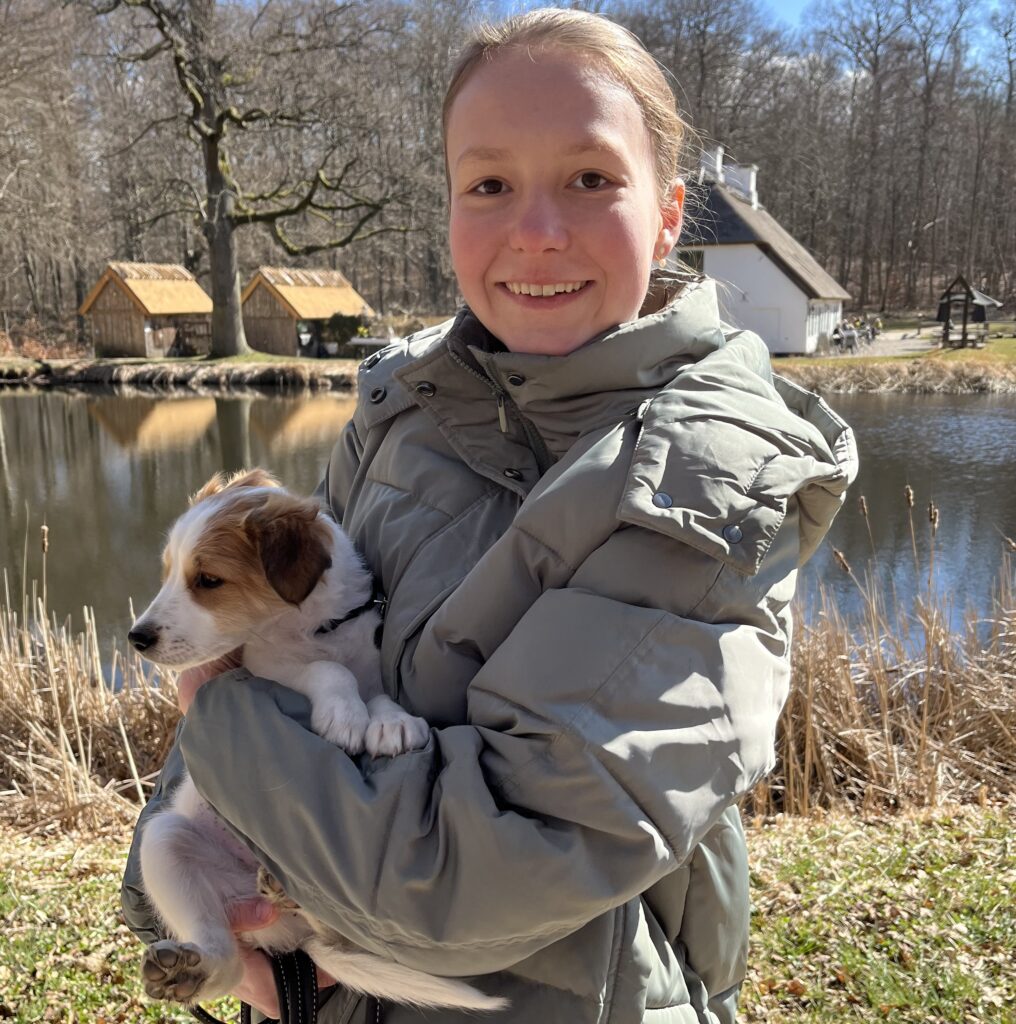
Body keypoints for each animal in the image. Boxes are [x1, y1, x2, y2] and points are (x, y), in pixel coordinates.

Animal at [129, 468, 505, 1011]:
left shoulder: (372, 661)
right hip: (163, 844)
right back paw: (196, 968)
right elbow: (327, 671)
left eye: (208, 580)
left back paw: (288, 894)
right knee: (226, 955)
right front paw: (346, 715)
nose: (137, 637)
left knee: (334, 928)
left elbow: (379, 694)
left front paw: (390, 724)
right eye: (169, 573)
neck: (317, 628)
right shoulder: (265, 665)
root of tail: (286, 933)